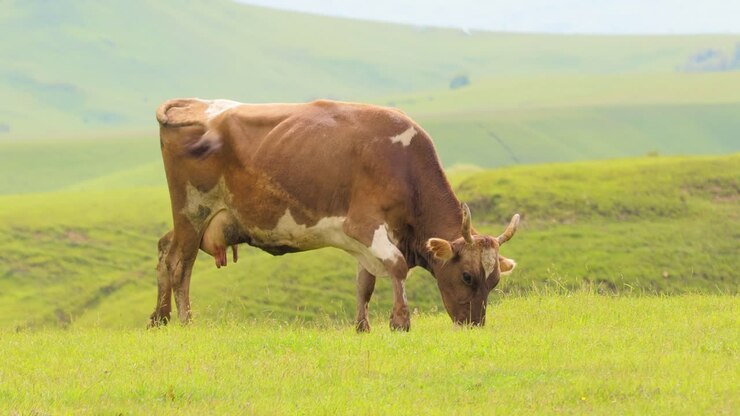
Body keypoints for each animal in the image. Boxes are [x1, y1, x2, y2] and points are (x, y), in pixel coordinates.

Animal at [150, 98, 519, 331]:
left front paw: (362, 326)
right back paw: (184, 321)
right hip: (192, 211)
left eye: (494, 282)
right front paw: (400, 321)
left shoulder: (367, 239)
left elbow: (365, 284)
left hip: (201, 221)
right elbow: (397, 267)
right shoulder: (364, 225)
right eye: (467, 276)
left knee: (164, 250)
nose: (474, 324)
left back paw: (159, 318)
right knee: (179, 263)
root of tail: (195, 104)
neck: (405, 168)